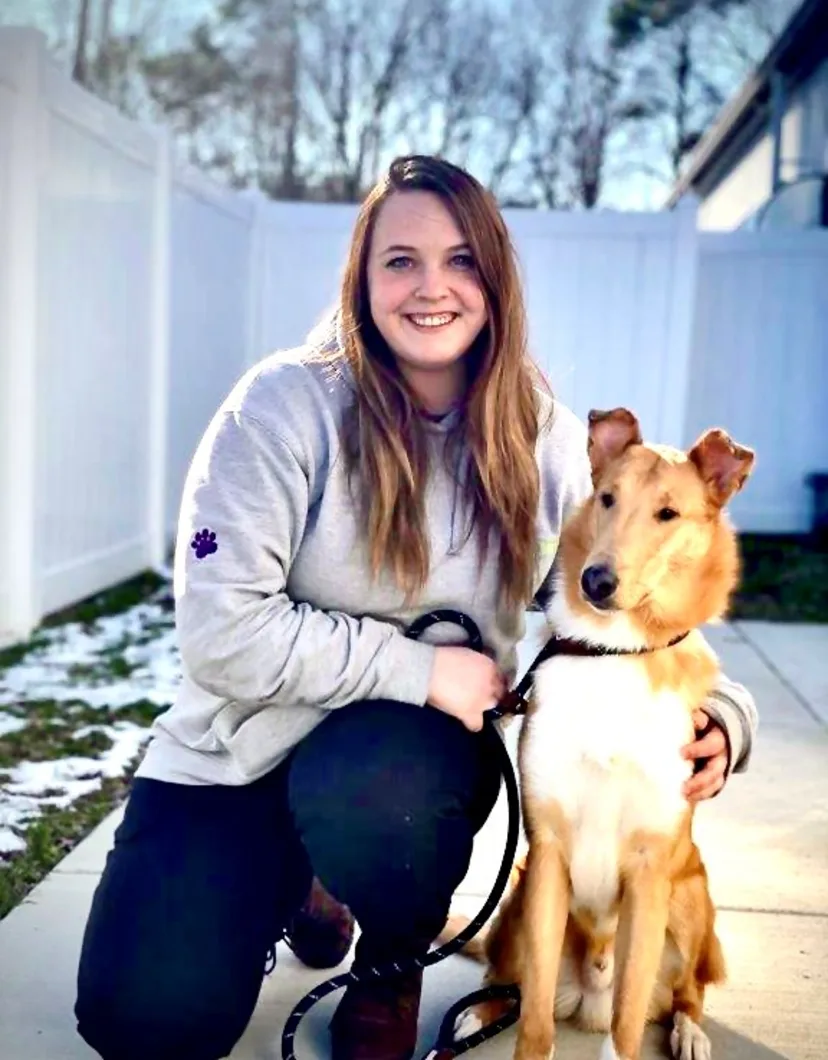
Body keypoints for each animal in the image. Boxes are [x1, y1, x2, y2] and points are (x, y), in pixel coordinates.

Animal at [445, 407, 754, 1060]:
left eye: (668, 513)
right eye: (608, 497)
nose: (596, 580)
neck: (615, 652)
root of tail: (584, 998)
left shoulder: (649, 870)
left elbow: (629, 1018)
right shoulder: (548, 855)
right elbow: (534, 1018)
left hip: (691, 895)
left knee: (687, 992)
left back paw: (689, 1031)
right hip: (516, 892)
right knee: (506, 978)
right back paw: (478, 1011)